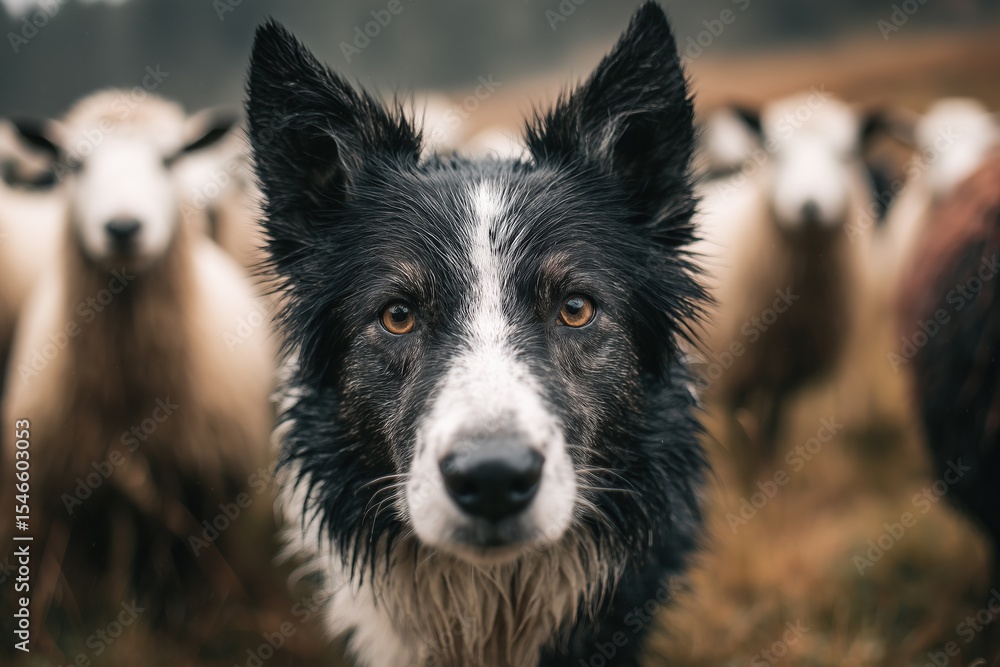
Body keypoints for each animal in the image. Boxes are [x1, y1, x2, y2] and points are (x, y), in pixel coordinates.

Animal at [692, 92, 883, 475]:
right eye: (774, 152)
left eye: (847, 153)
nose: (809, 207)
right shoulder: (735, 359)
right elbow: (741, 417)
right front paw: (748, 469)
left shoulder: (791, 365)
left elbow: (774, 420)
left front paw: (767, 462)